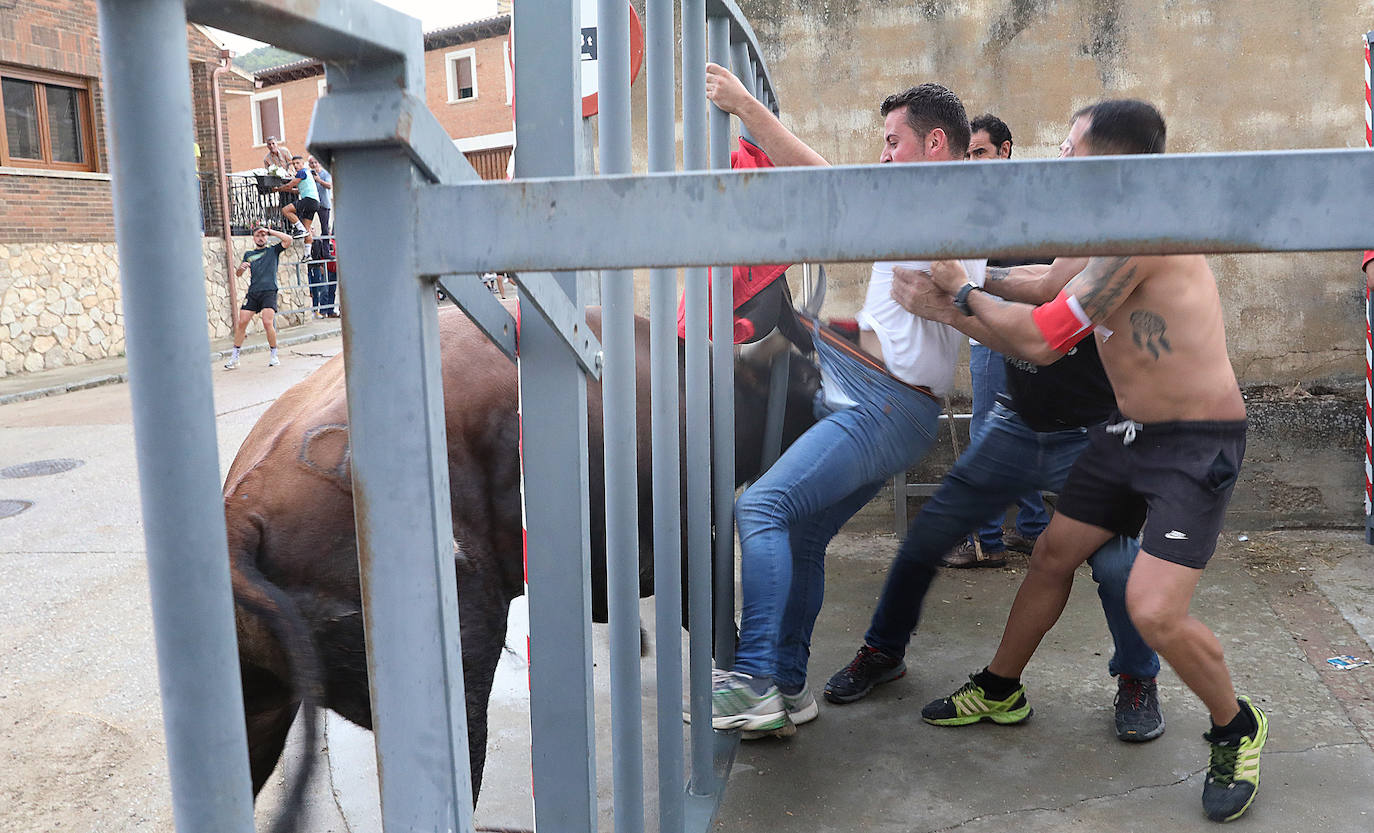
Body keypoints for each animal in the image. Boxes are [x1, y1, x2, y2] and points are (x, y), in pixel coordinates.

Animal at [223, 303, 813, 813]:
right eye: (807, 383)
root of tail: (239, 516)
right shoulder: (681, 537)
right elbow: (709, 607)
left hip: (264, 704)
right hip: (460, 684)